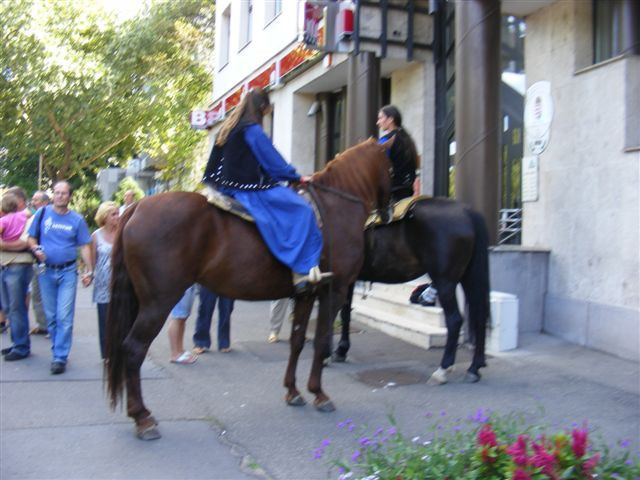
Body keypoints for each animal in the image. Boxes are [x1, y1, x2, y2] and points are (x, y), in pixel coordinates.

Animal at [105, 138, 390, 438]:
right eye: (393, 164)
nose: (387, 212)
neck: (336, 206)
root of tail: (137, 207)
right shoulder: (333, 292)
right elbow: (322, 341)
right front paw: (319, 393)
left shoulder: (306, 295)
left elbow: (298, 341)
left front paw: (293, 391)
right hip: (158, 303)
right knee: (134, 348)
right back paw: (142, 417)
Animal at [336, 197, 490, 384]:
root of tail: (466, 211)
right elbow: (345, 312)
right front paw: (340, 350)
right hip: (468, 277)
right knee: (479, 316)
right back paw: (474, 367)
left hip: (445, 282)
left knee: (454, 320)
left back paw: (443, 370)